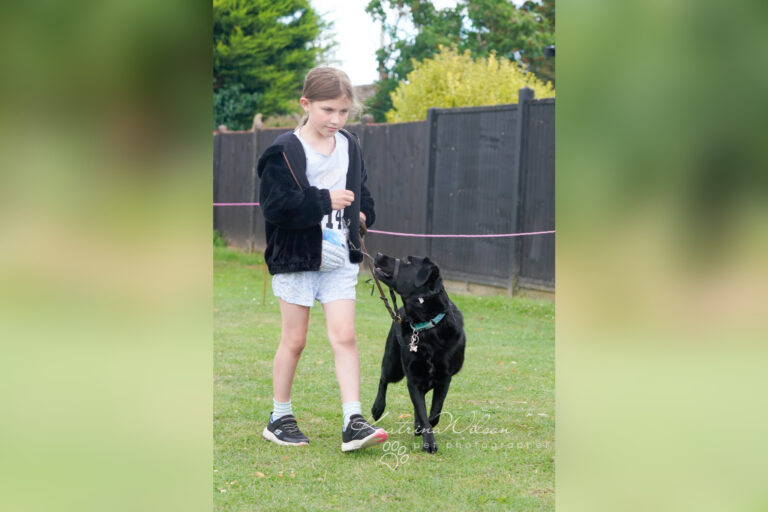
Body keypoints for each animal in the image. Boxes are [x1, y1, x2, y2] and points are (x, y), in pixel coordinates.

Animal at [368, 252, 464, 452]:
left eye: (407, 261)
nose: (379, 254)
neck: (426, 327)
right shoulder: (413, 377)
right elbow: (424, 412)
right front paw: (429, 442)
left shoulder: (444, 378)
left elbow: (433, 414)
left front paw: (421, 427)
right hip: (393, 364)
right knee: (383, 379)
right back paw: (377, 407)